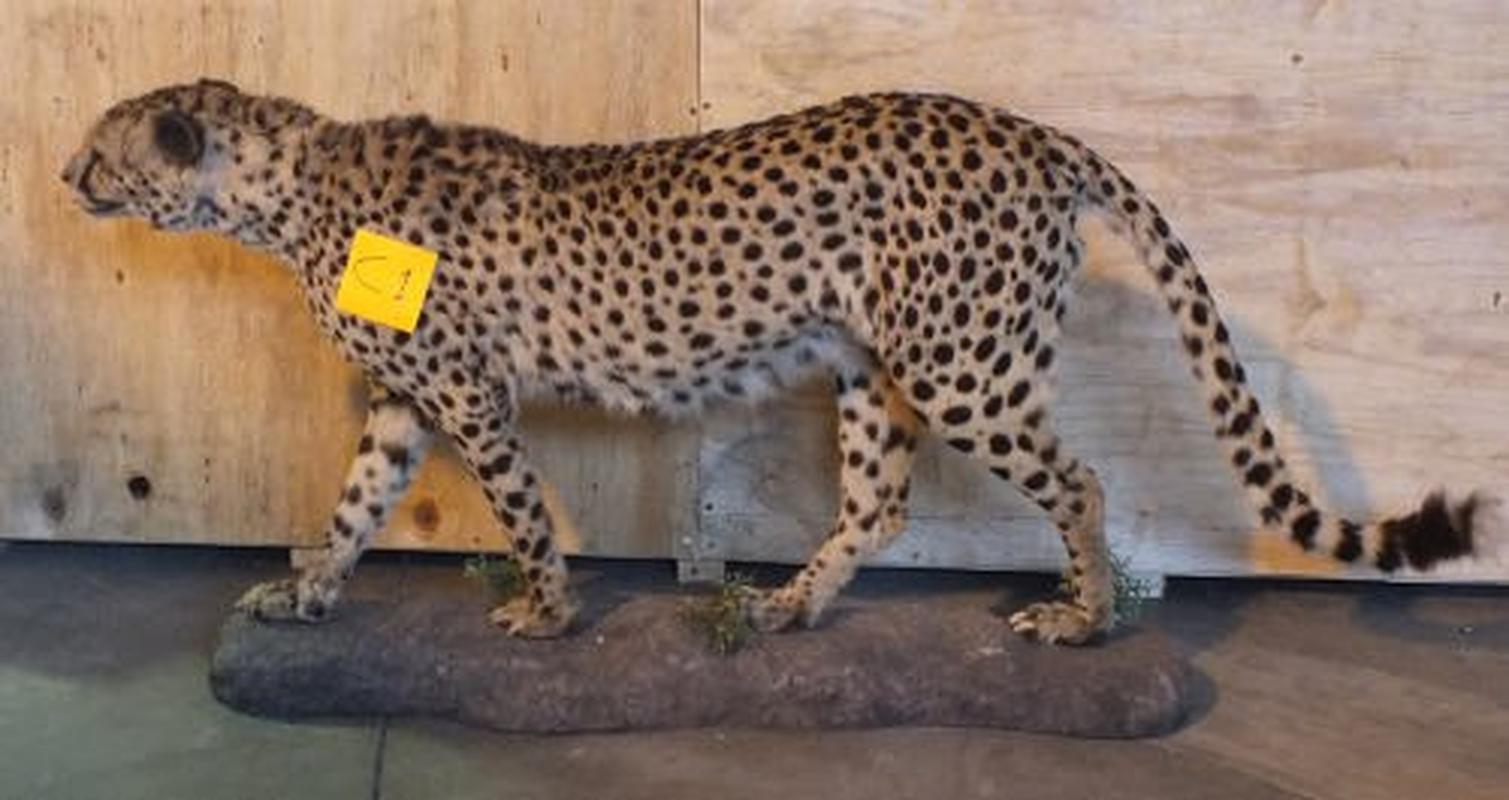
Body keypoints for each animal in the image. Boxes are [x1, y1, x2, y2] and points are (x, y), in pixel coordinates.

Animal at [62, 78, 1501, 645]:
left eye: (101, 143)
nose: (66, 175)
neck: (285, 191)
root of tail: (1031, 131)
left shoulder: (468, 393)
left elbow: (518, 508)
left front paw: (546, 611)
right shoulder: (405, 410)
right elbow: (352, 508)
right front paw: (301, 594)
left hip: (965, 363)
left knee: (1082, 481)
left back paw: (1080, 619)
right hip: (874, 368)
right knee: (881, 498)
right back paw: (790, 606)